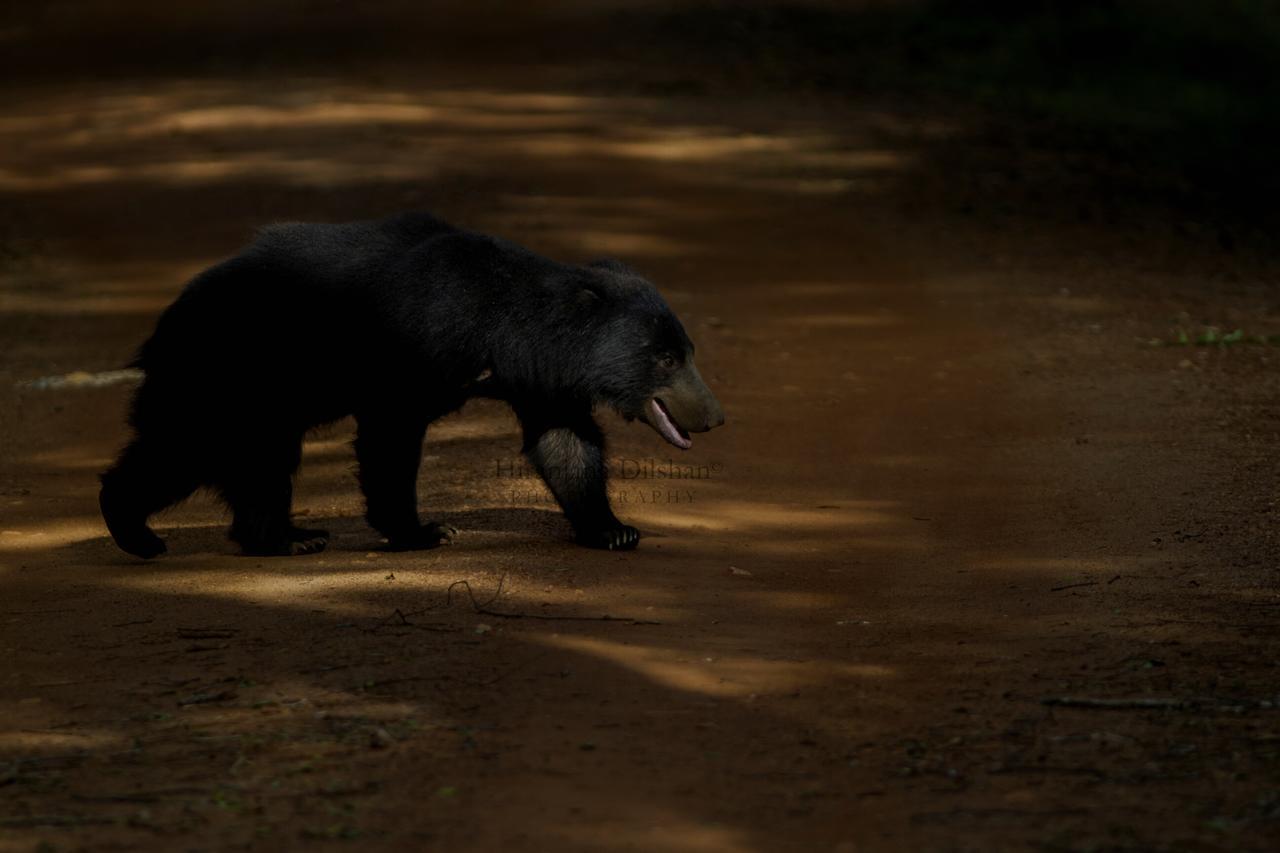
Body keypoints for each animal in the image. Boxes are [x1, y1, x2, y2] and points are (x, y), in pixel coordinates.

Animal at [99, 211, 727, 558]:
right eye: (665, 358)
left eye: (687, 353)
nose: (715, 416)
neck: (503, 332)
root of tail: (166, 323)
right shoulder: (415, 347)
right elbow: (391, 437)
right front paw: (425, 530)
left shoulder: (540, 376)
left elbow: (566, 441)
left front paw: (614, 531)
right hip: (230, 374)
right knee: (198, 450)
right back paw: (158, 532)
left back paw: (286, 534)